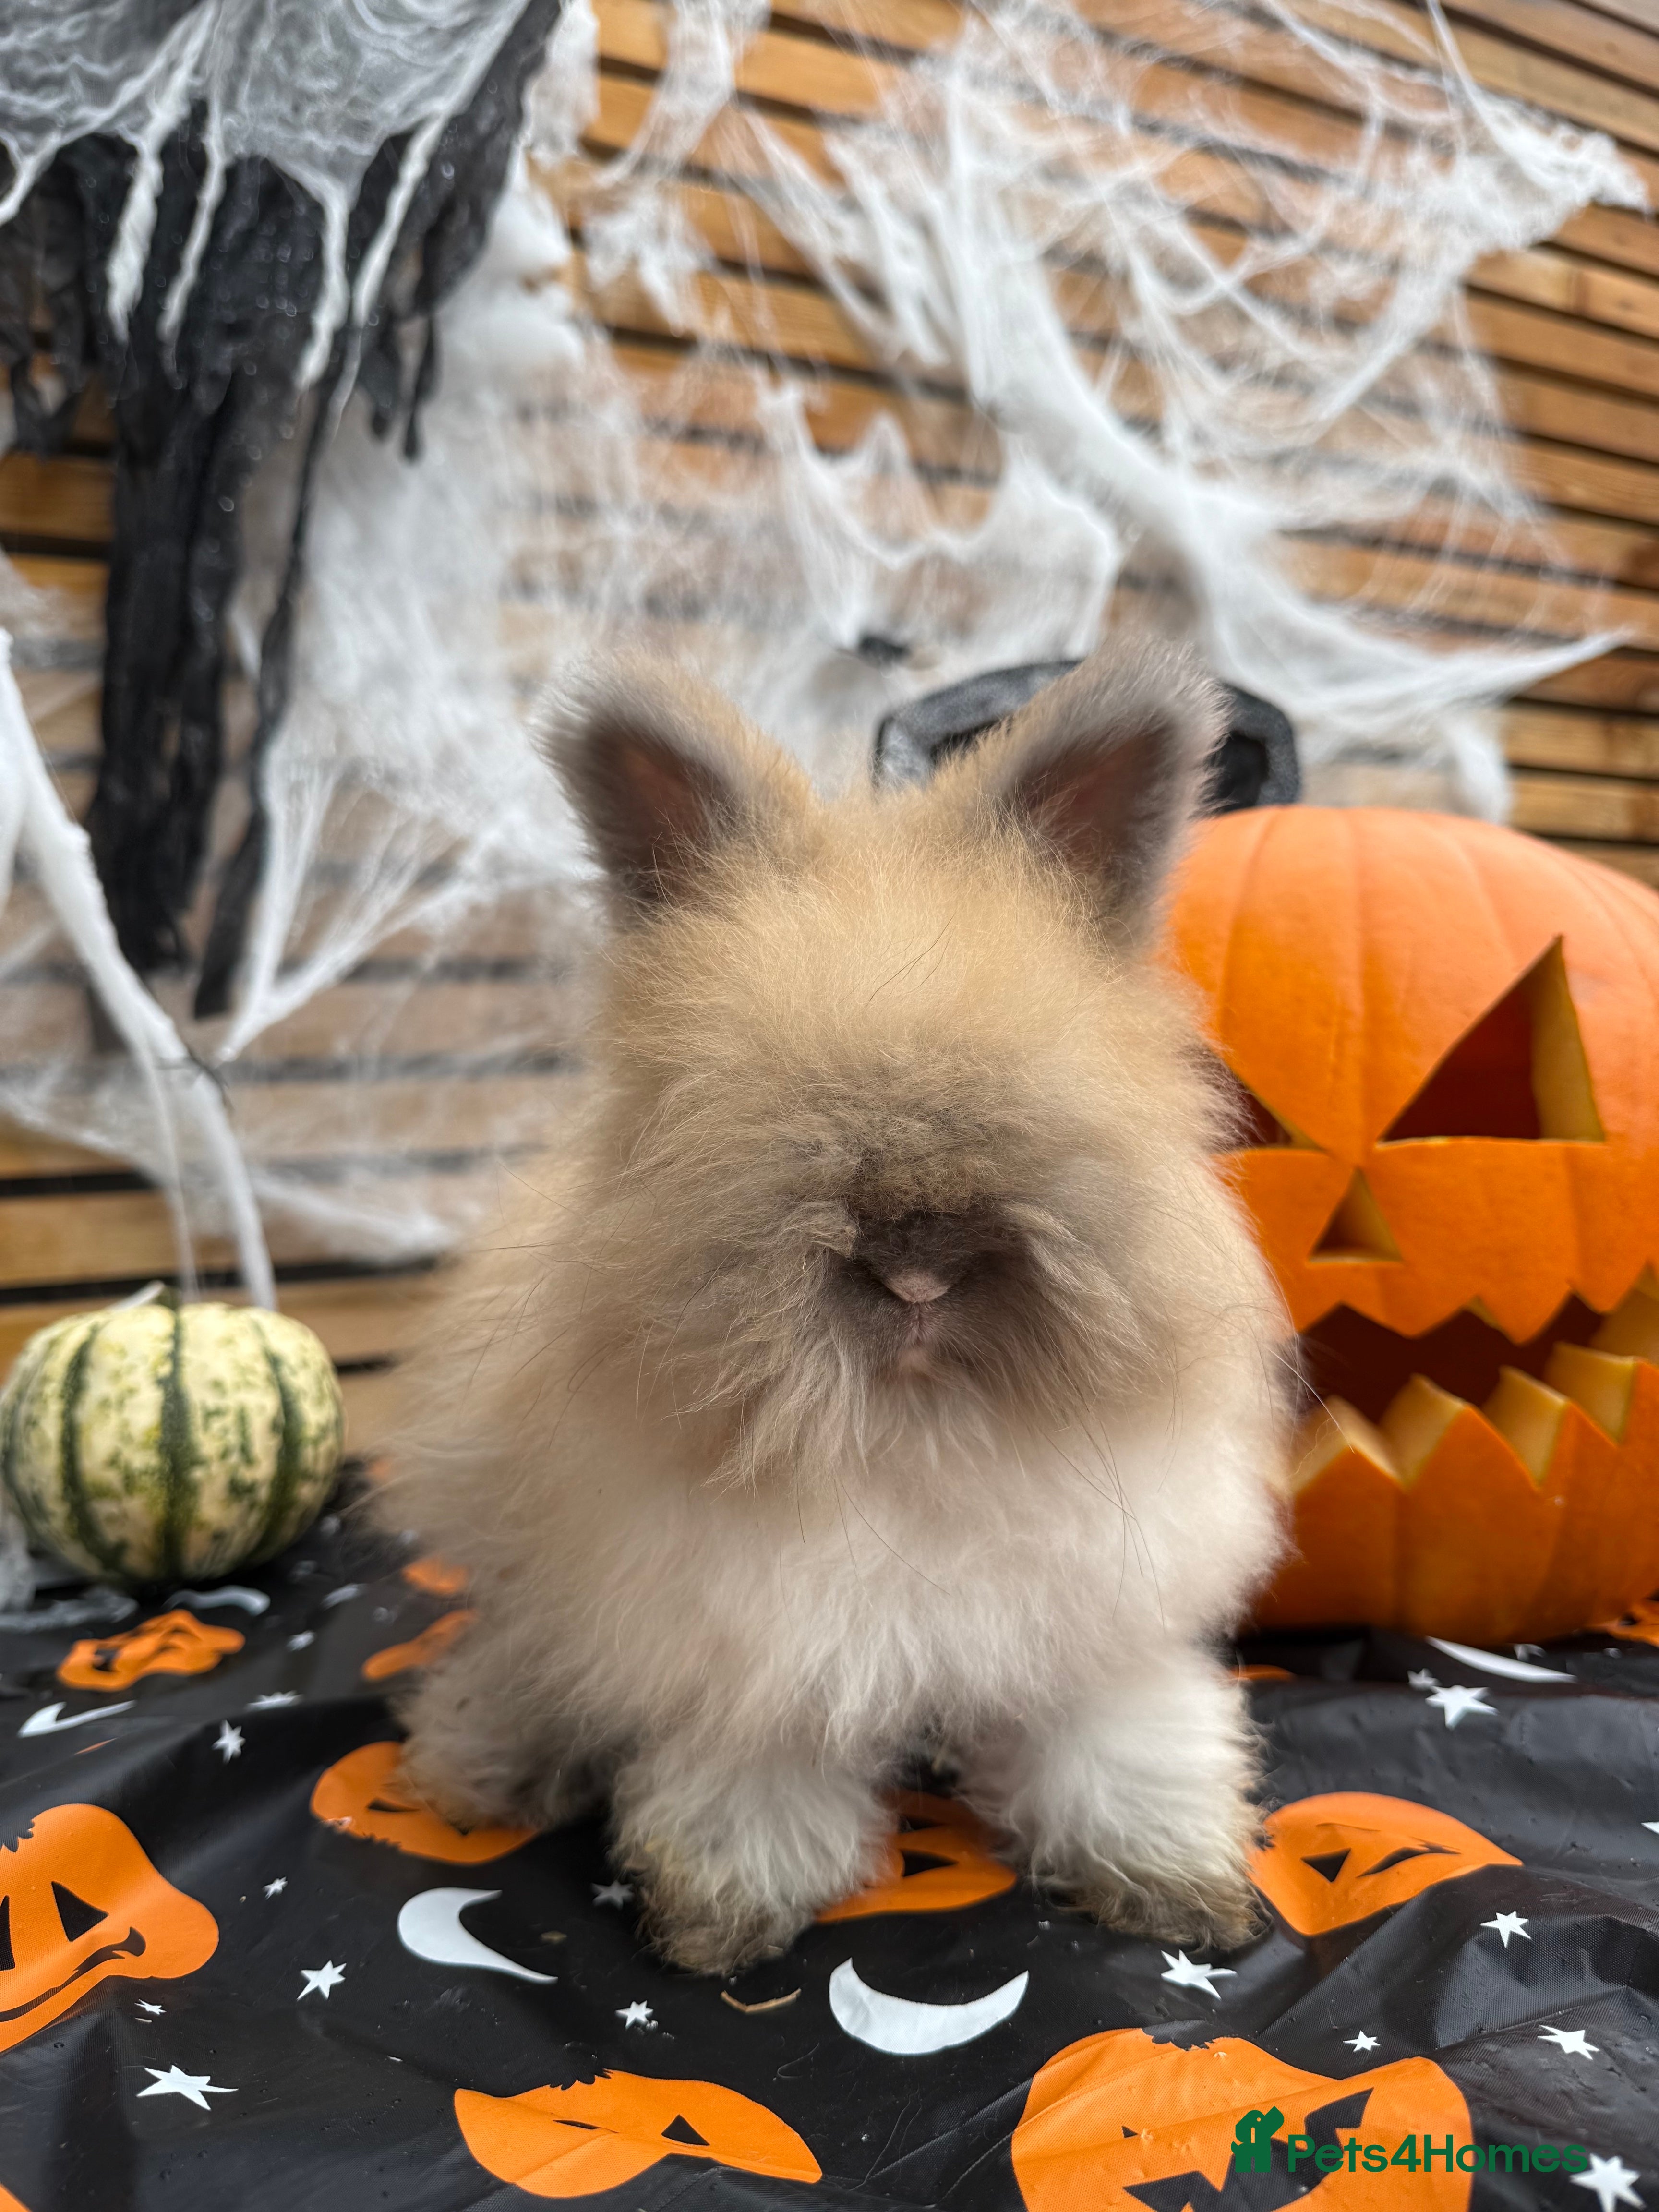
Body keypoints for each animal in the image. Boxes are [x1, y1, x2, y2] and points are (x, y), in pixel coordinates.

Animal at [381, 632, 1290, 1976]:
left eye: (1064, 1076)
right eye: (724, 1095)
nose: (916, 1273)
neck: (914, 1430)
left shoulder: (1096, 1614)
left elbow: (1116, 1738)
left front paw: (1176, 1887)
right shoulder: (741, 1639)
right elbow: (751, 1771)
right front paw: (725, 1912)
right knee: (522, 1660)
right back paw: (483, 1764)